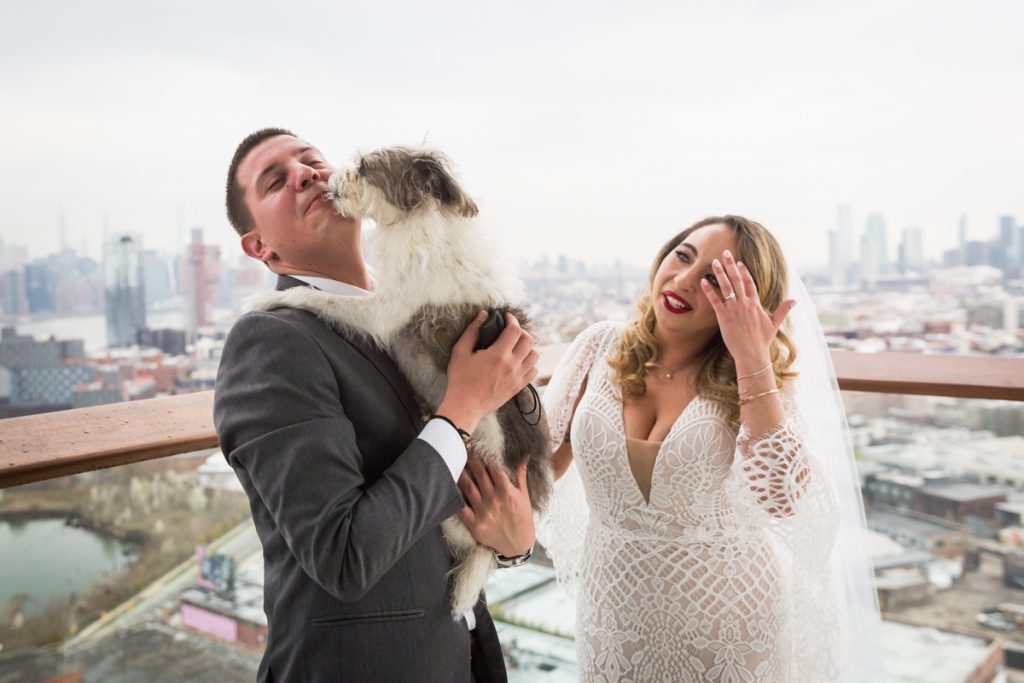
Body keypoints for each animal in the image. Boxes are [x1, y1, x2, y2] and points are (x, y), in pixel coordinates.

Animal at [245, 147, 552, 618]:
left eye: (366, 167)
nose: (327, 178)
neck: (415, 221)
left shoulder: (382, 311)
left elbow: (316, 295)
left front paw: (265, 298)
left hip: (475, 470)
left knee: (468, 539)